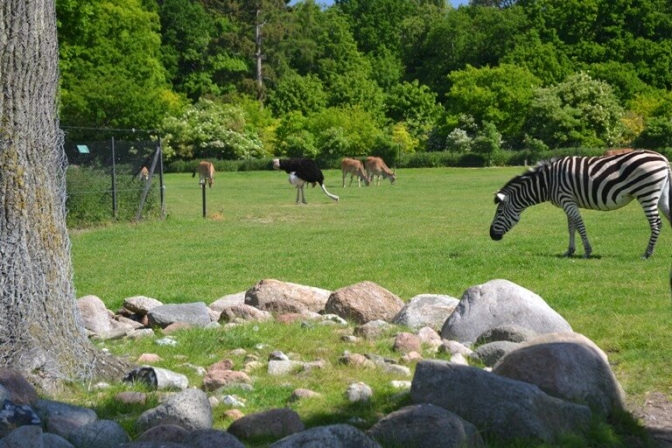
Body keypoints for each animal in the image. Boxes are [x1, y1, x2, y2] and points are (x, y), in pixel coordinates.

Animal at [488, 150, 672, 260]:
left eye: (499, 212)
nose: (491, 236)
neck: (547, 183)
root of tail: (663, 159)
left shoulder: (567, 200)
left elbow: (579, 225)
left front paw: (587, 252)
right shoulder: (568, 202)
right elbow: (571, 227)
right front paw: (569, 251)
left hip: (646, 193)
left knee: (656, 223)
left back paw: (647, 254)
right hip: (661, 195)